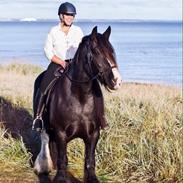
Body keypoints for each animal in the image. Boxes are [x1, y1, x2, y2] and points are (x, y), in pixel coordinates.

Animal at [33, 26, 121, 183]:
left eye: (111, 51)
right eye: (97, 51)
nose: (116, 81)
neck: (80, 97)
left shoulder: (93, 134)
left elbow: (89, 161)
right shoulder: (61, 133)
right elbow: (62, 160)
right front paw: (60, 179)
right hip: (44, 126)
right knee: (45, 140)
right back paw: (43, 166)